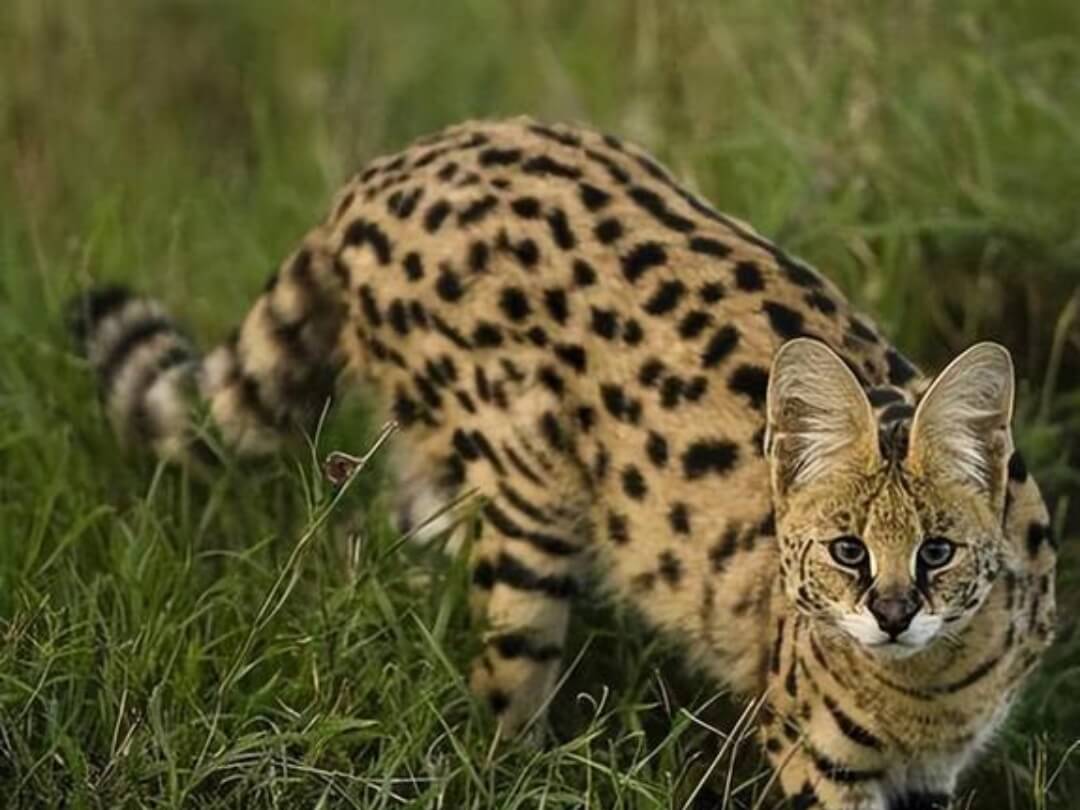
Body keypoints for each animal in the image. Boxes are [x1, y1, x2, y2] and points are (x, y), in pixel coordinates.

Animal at [68, 117, 1057, 810]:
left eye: (936, 550)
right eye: (847, 550)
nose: (890, 614)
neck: (930, 689)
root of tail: (387, 168)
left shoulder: (930, 774)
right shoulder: (823, 765)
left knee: (387, 527)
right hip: (529, 504)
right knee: (499, 683)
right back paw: (522, 769)